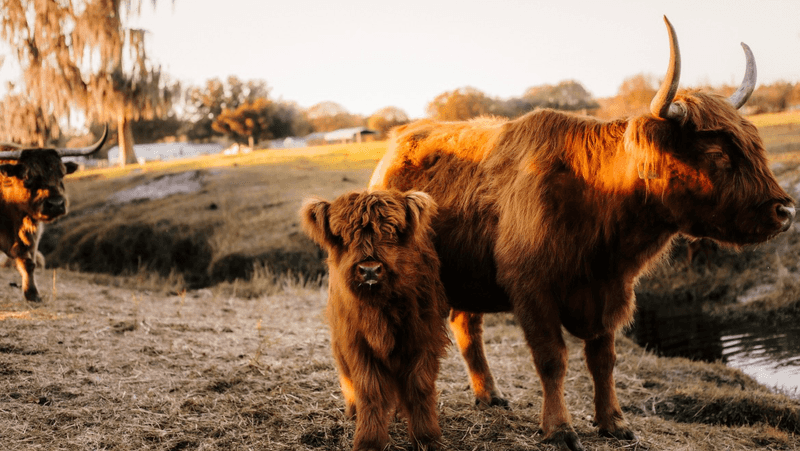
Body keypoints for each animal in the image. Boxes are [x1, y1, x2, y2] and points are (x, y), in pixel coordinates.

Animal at [0, 127, 107, 302]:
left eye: (62, 174)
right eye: (28, 176)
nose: (56, 204)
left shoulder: (32, 234)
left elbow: (29, 263)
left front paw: (33, 294)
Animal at [301, 189, 450, 451]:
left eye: (391, 232)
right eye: (343, 235)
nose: (369, 270)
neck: (379, 308)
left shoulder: (423, 337)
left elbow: (419, 386)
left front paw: (427, 437)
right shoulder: (358, 344)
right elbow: (369, 390)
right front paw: (368, 440)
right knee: (348, 378)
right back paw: (353, 412)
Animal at [368, 17, 795, 451]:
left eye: (755, 147)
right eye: (717, 154)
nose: (785, 211)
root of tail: (397, 143)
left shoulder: (611, 291)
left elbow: (603, 360)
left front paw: (614, 421)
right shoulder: (532, 289)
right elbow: (552, 359)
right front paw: (559, 428)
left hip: (468, 275)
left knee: (467, 326)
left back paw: (489, 395)